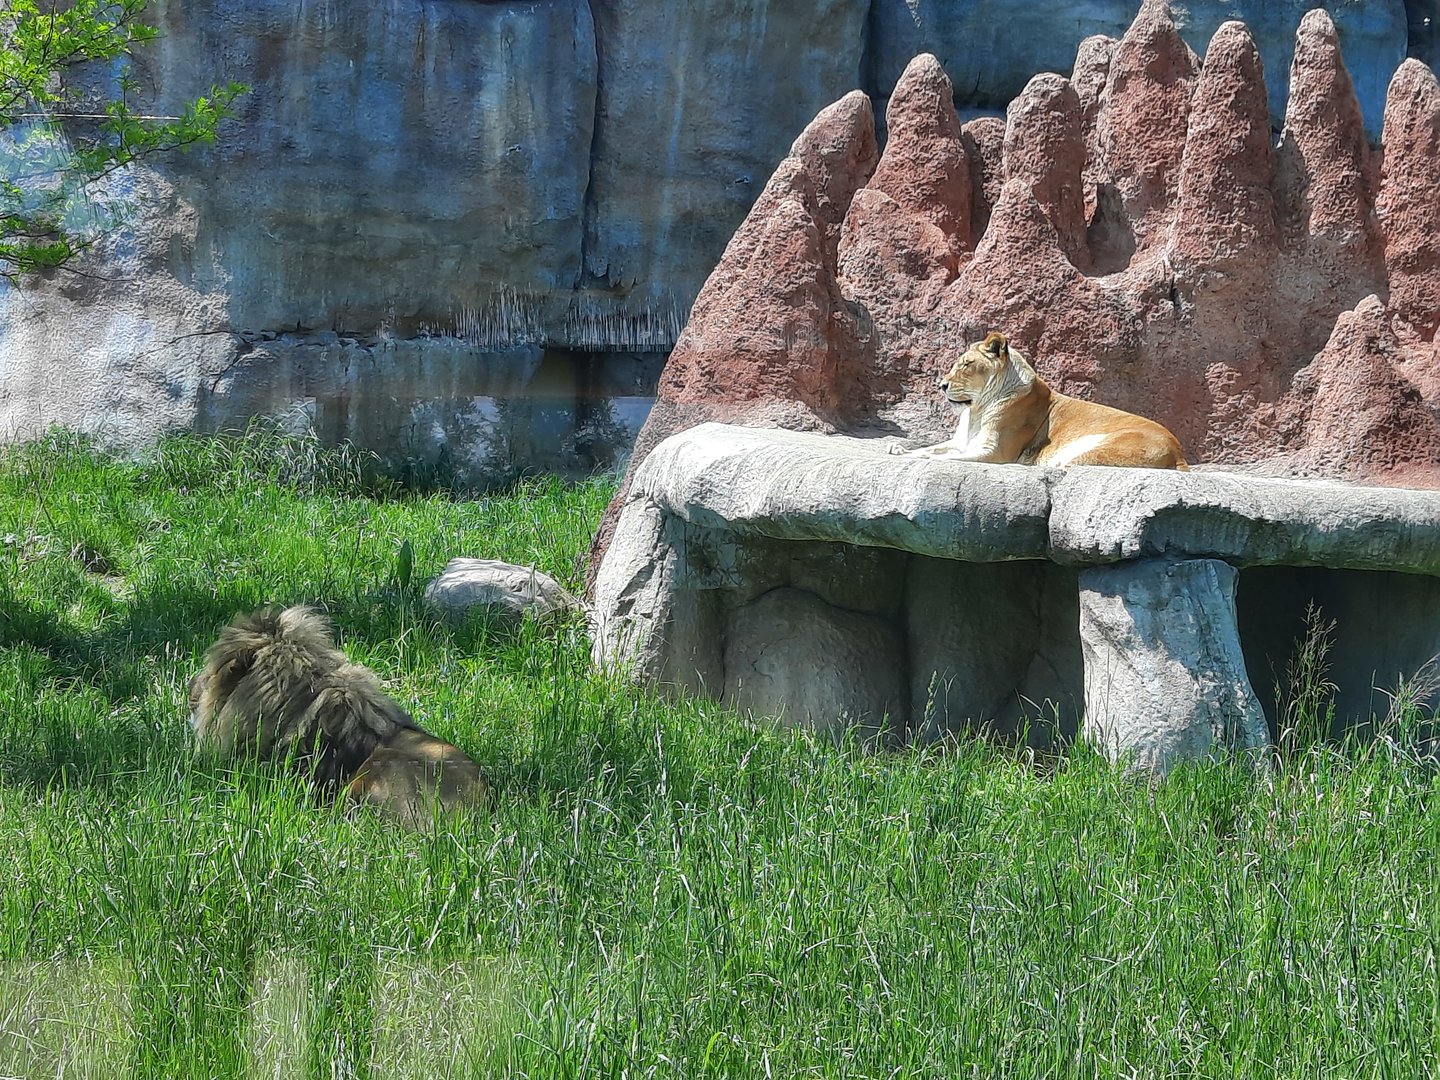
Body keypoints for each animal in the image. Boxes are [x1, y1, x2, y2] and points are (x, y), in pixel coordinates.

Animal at [896, 332, 1189, 469]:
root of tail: (1179, 453)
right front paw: (900, 450)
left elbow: (947, 457)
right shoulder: (963, 442)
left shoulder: (995, 452)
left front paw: (913, 456)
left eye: (967, 364)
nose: (941, 385)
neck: (975, 411)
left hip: (1091, 450)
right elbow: (933, 448)